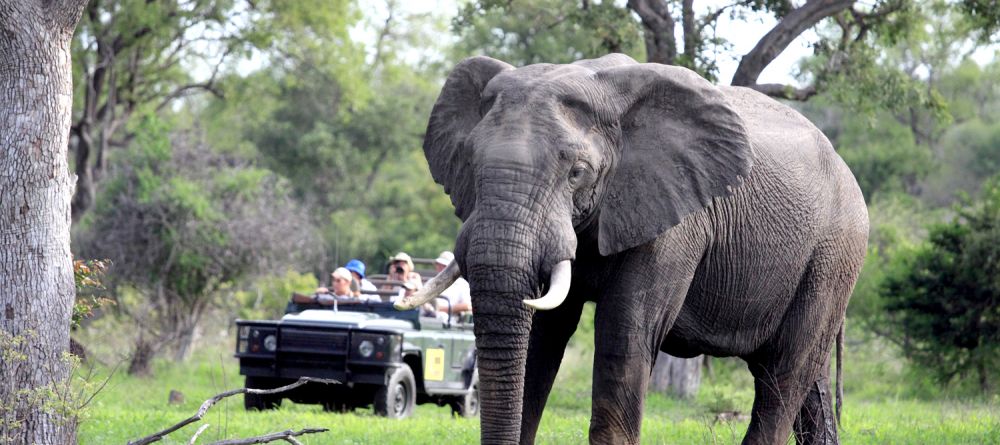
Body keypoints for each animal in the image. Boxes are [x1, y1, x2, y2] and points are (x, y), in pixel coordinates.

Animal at [396, 53, 868, 444]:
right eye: (471, 162)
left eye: (578, 172)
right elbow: (542, 336)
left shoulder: (675, 218)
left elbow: (624, 334)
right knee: (808, 381)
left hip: (833, 255)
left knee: (784, 373)